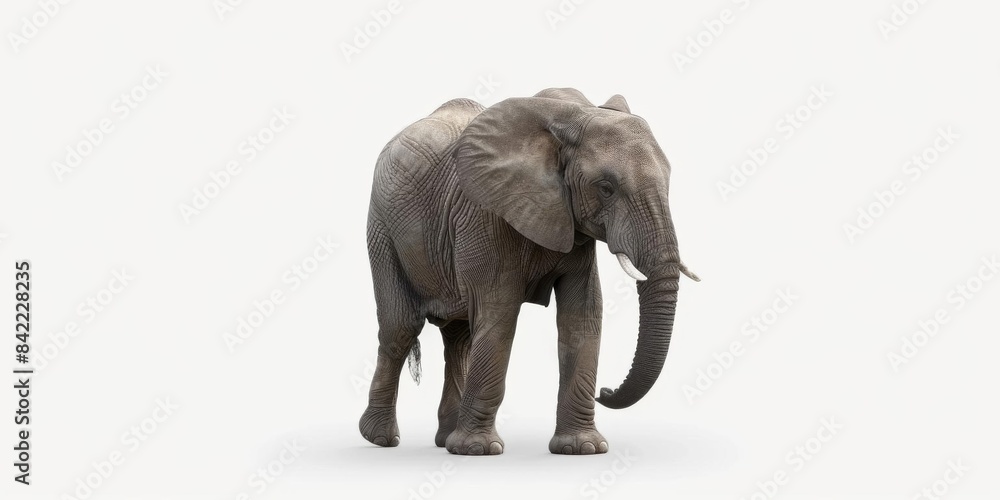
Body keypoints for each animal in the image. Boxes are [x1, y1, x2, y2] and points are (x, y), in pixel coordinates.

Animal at [360, 87, 698, 456]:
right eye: (606, 187)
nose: (606, 392)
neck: (568, 115)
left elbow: (582, 316)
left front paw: (582, 448)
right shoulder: (486, 213)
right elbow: (500, 313)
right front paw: (479, 450)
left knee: (459, 337)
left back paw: (445, 441)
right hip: (381, 228)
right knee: (401, 327)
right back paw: (382, 439)